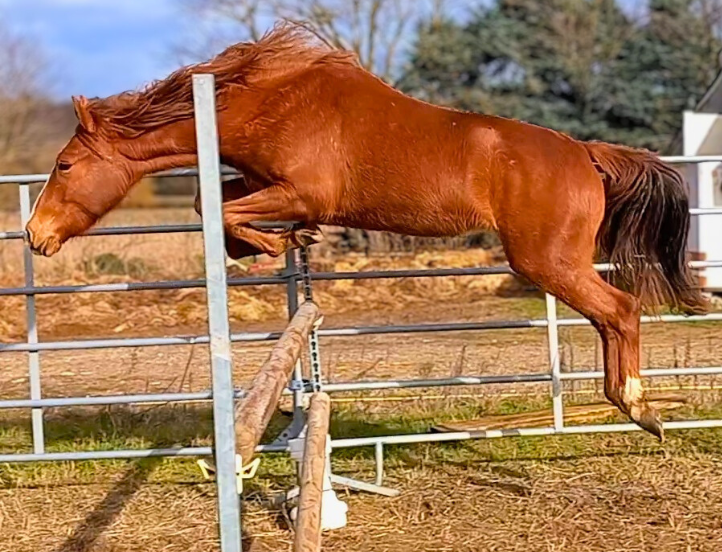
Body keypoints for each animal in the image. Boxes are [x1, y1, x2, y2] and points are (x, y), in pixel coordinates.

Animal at [26, 23, 707, 440]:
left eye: (64, 165)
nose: (35, 235)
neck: (269, 100)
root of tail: (585, 153)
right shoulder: (261, 182)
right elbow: (209, 202)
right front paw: (285, 243)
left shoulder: (303, 190)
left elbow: (223, 210)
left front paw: (279, 244)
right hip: (554, 263)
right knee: (610, 316)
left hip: (547, 261)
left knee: (620, 309)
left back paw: (640, 408)